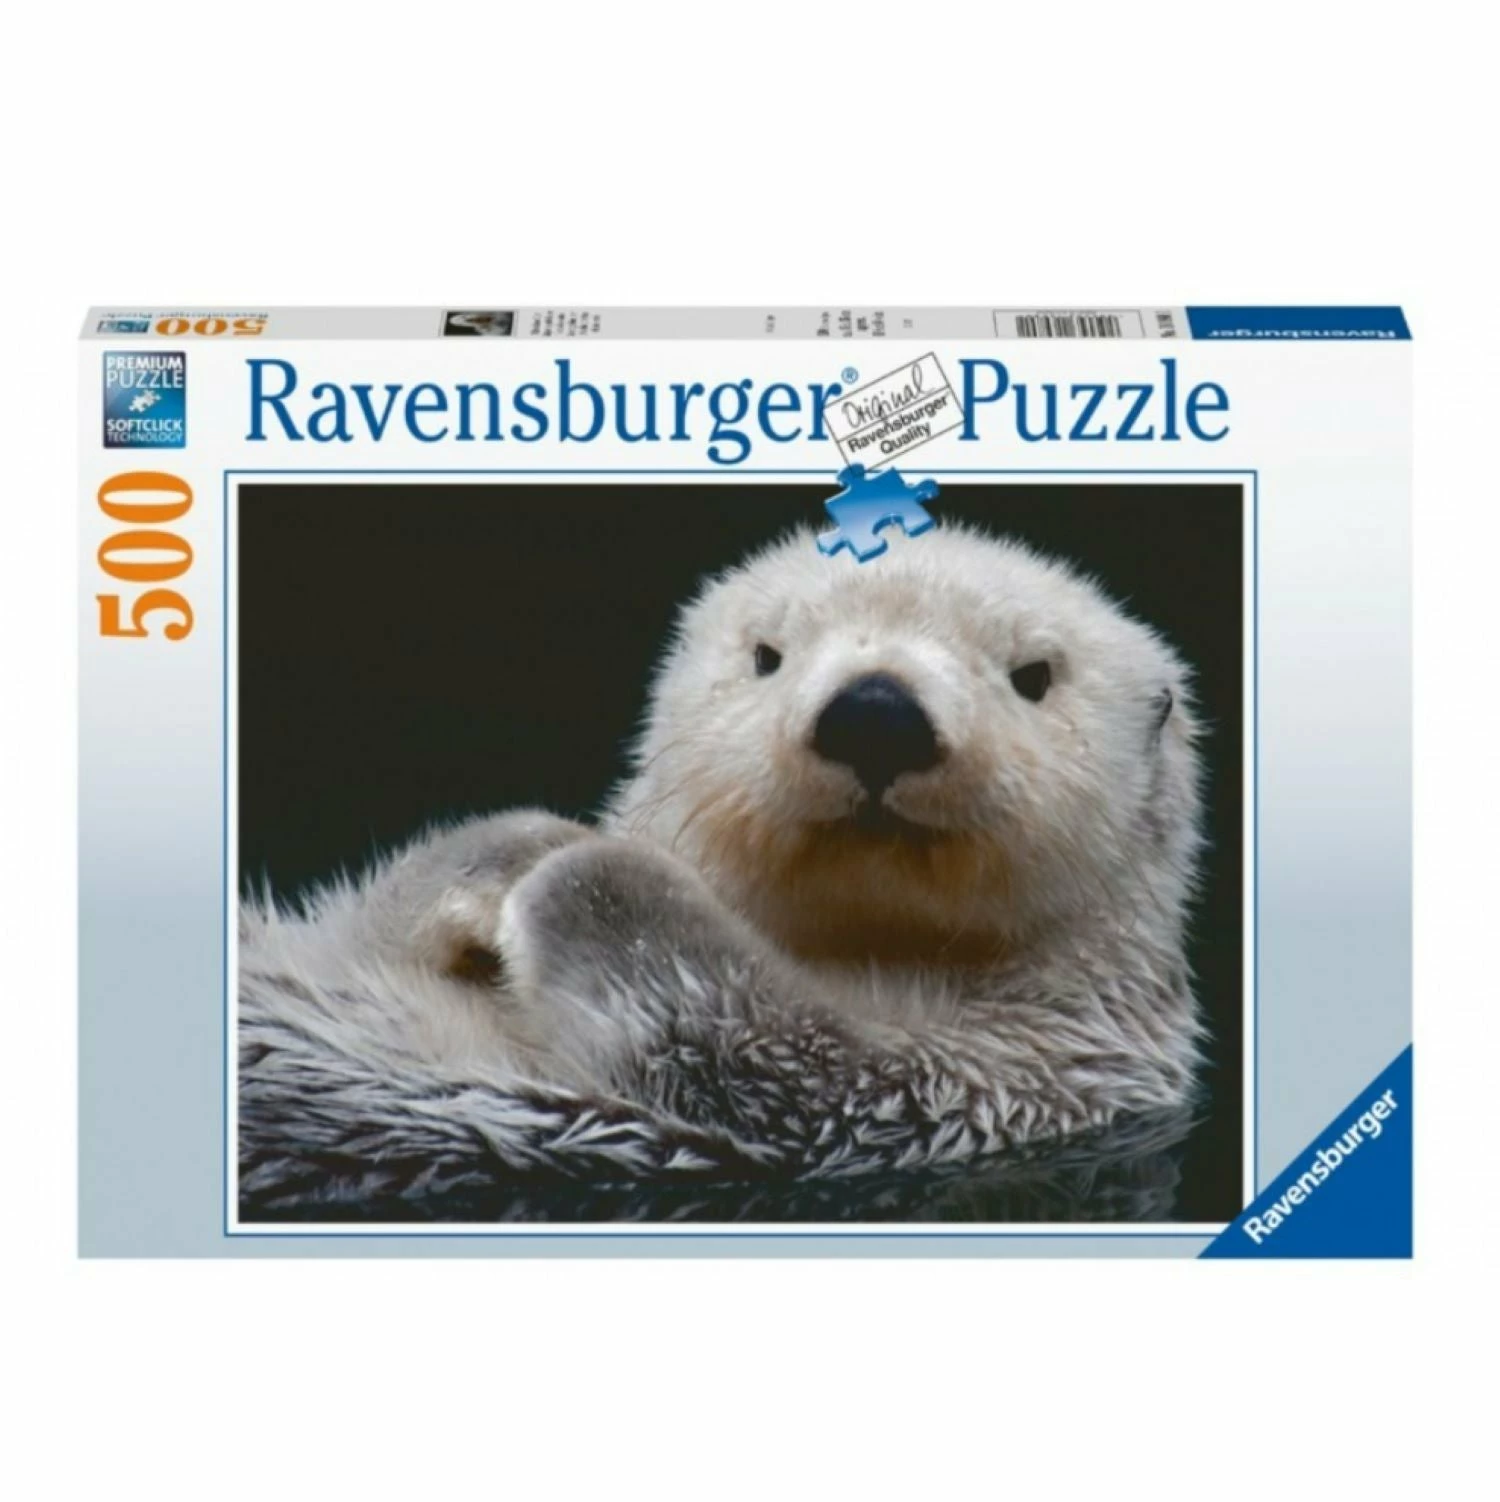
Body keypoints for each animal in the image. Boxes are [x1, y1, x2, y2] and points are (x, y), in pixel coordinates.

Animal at [239, 523, 1206, 1214]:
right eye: (766, 655)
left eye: (1034, 675)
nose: (876, 712)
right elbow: (365, 918)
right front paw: (511, 851)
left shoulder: (993, 1080)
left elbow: (749, 1037)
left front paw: (577, 865)